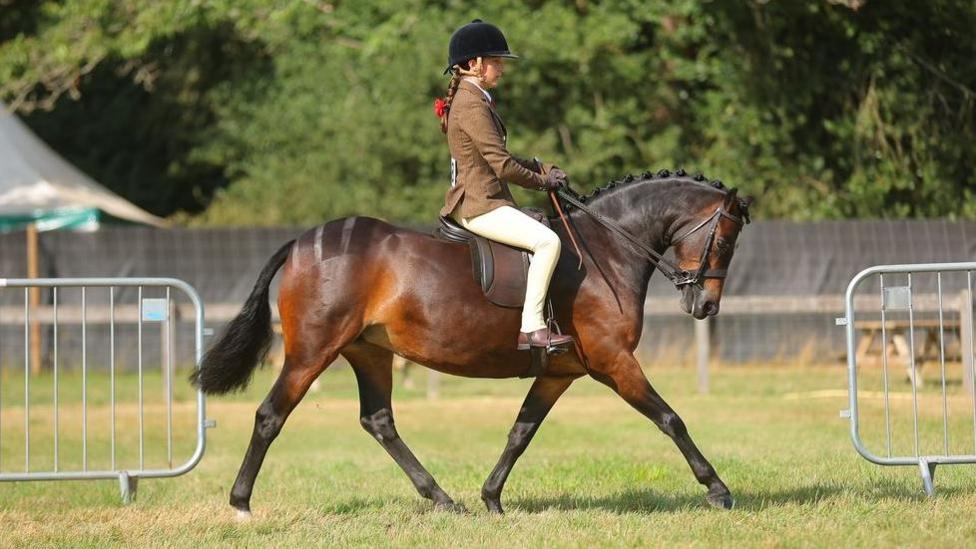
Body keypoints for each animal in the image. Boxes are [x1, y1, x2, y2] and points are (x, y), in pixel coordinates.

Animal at [191, 170, 753, 518]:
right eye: (724, 241)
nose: (705, 307)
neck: (604, 251)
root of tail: (302, 242)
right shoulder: (615, 363)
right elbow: (670, 419)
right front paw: (718, 490)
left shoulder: (559, 372)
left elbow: (521, 432)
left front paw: (491, 497)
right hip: (312, 352)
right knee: (271, 415)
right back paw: (240, 504)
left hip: (369, 352)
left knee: (379, 421)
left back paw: (442, 498)